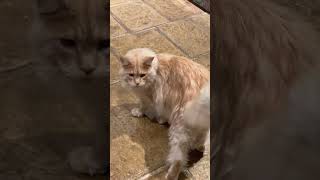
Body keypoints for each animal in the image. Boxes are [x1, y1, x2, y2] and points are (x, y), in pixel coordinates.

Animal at [117, 47, 210, 180]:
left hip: (179, 132)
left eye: (142, 75)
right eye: (131, 75)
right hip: (200, 127)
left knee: (179, 160)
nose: (137, 83)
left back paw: (171, 175)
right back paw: (199, 147)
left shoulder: (148, 97)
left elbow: (143, 106)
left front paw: (139, 112)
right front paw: (162, 120)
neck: (156, 68)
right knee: (201, 139)